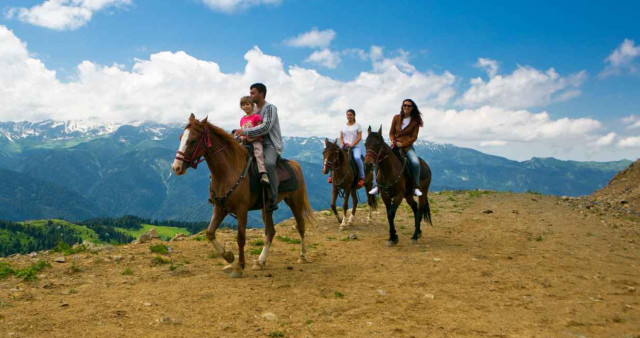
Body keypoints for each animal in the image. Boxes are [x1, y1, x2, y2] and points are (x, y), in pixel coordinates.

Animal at [171, 113, 314, 278]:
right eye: (180, 138)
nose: (176, 167)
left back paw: (302, 256)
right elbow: (210, 232)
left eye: (193, 140)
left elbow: (240, 238)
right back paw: (260, 262)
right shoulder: (220, 208)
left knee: (300, 226)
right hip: (267, 208)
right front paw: (228, 256)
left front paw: (239, 267)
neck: (228, 172)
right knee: (271, 232)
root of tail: (295, 165)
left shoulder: (242, 210)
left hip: (295, 202)